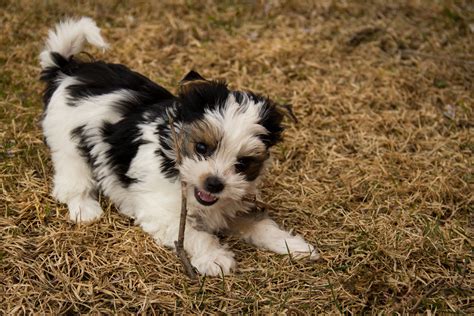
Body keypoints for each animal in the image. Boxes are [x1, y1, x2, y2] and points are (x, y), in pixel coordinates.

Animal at [39, 17, 318, 276]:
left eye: (242, 163)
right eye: (202, 148)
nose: (214, 183)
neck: (173, 158)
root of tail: (68, 70)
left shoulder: (233, 201)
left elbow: (259, 224)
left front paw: (293, 245)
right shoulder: (161, 210)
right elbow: (194, 235)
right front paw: (215, 258)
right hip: (66, 142)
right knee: (72, 177)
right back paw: (84, 208)